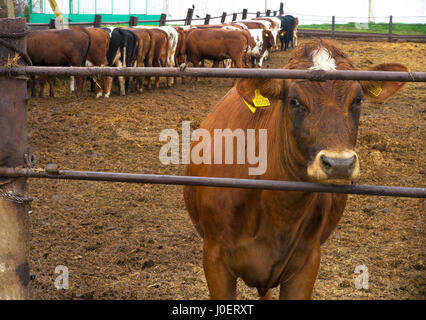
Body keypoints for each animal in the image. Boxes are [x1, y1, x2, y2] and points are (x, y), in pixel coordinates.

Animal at [181, 39, 408, 298]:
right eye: (294, 101)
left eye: (358, 100)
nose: (339, 164)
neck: (278, 211)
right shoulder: (214, 259)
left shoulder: (307, 262)